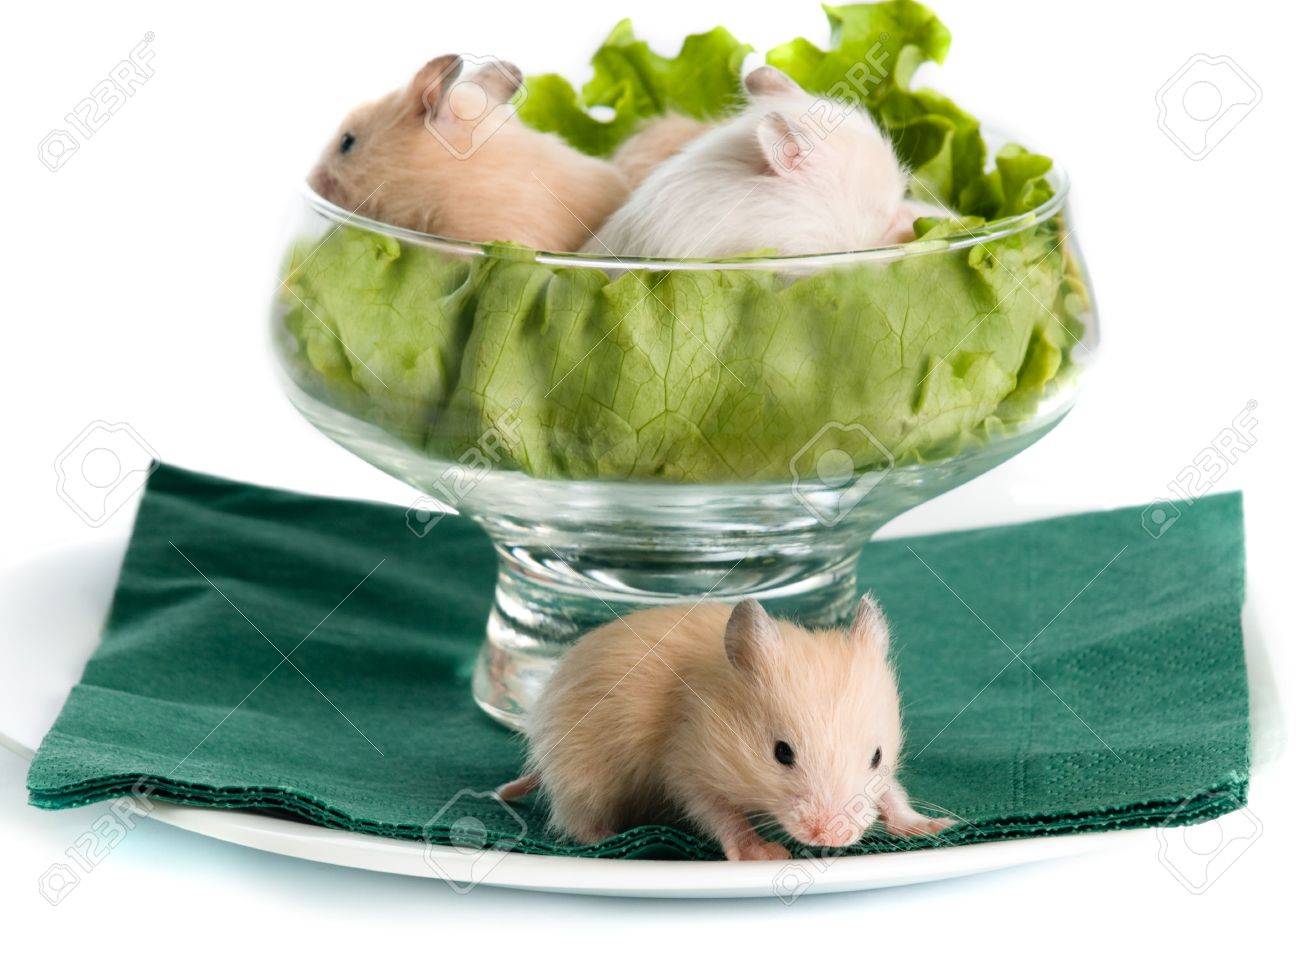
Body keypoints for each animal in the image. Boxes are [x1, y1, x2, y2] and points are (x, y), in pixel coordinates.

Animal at [497, 595, 954, 861]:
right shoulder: (688, 770)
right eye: (782, 753)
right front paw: (765, 854)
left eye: (876, 757)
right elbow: (723, 815)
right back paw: (606, 837)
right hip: (579, 776)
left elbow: (892, 794)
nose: (831, 838)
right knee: (574, 818)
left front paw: (935, 826)